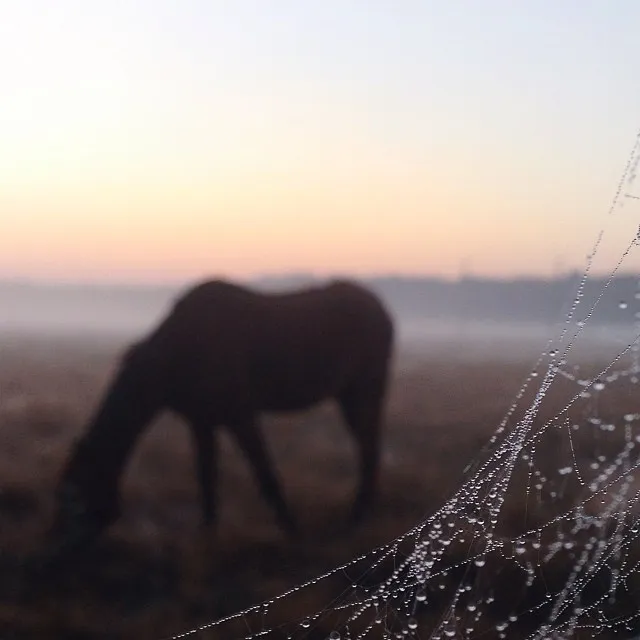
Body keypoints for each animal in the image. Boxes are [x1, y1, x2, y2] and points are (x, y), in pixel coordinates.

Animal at [48, 278, 394, 554]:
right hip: (349, 397)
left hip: (365, 392)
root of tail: (381, 309)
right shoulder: (202, 422)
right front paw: (207, 537)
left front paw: (292, 532)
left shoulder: (240, 417)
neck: (179, 350)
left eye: (75, 500)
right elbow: (207, 479)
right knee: (368, 448)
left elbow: (265, 475)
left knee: (369, 450)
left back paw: (354, 521)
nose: (56, 552)